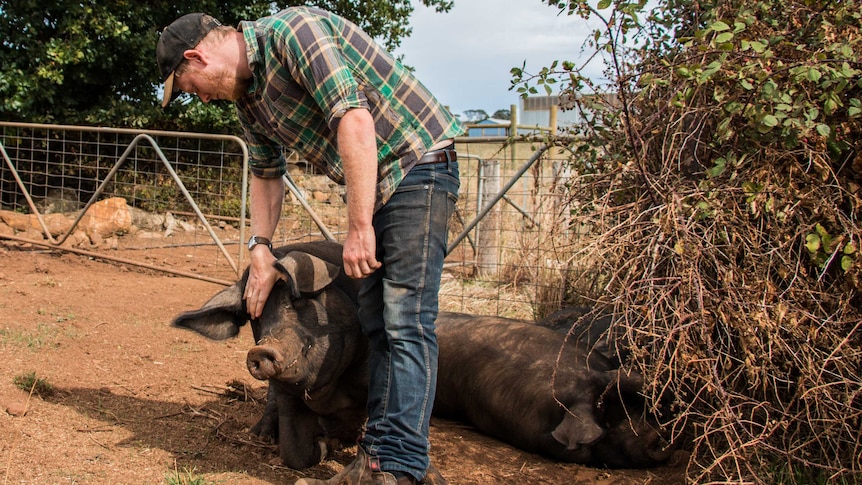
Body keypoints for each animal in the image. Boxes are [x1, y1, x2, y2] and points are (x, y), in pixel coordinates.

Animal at [172, 241, 368, 468]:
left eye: (295, 298)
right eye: (253, 315)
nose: (260, 350)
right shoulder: (287, 397)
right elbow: (293, 453)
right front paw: (324, 442)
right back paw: (258, 435)